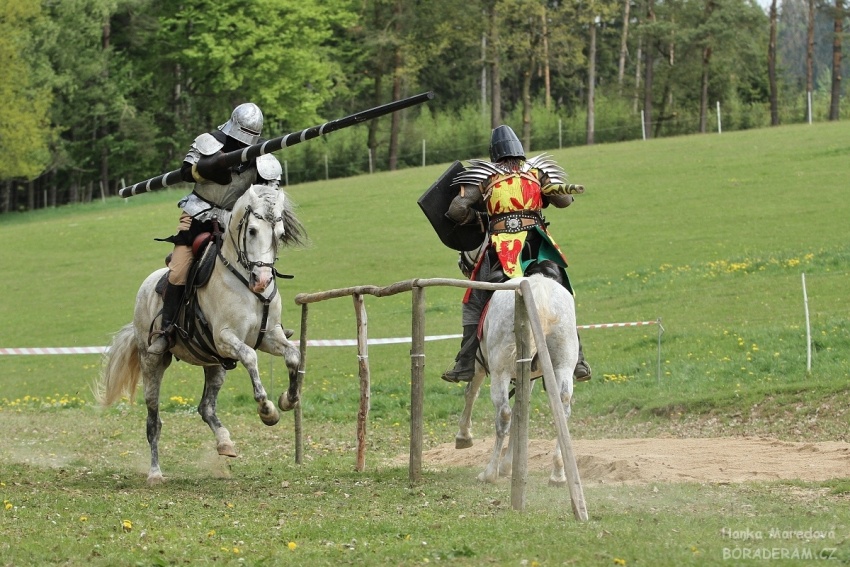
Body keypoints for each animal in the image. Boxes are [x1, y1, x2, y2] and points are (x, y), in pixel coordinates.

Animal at [95, 185, 304, 484]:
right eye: (252, 230)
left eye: (279, 232)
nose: (262, 281)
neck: (244, 282)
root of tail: (146, 286)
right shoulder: (226, 338)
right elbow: (250, 358)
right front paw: (267, 410)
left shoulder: (269, 336)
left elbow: (293, 355)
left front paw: (289, 399)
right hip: (152, 362)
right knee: (153, 421)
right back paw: (155, 473)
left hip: (214, 363)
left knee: (206, 407)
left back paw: (225, 443)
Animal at [450, 272, 576, 486]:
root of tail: (540, 288)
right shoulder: (529, 378)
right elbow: (520, 411)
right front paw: (509, 465)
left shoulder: (480, 366)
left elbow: (471, 393)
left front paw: (464, 435)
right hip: (563, 366)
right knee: (562, 410)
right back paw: (558, 473)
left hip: (500, 372)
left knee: (503, 415)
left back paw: (489, 472)